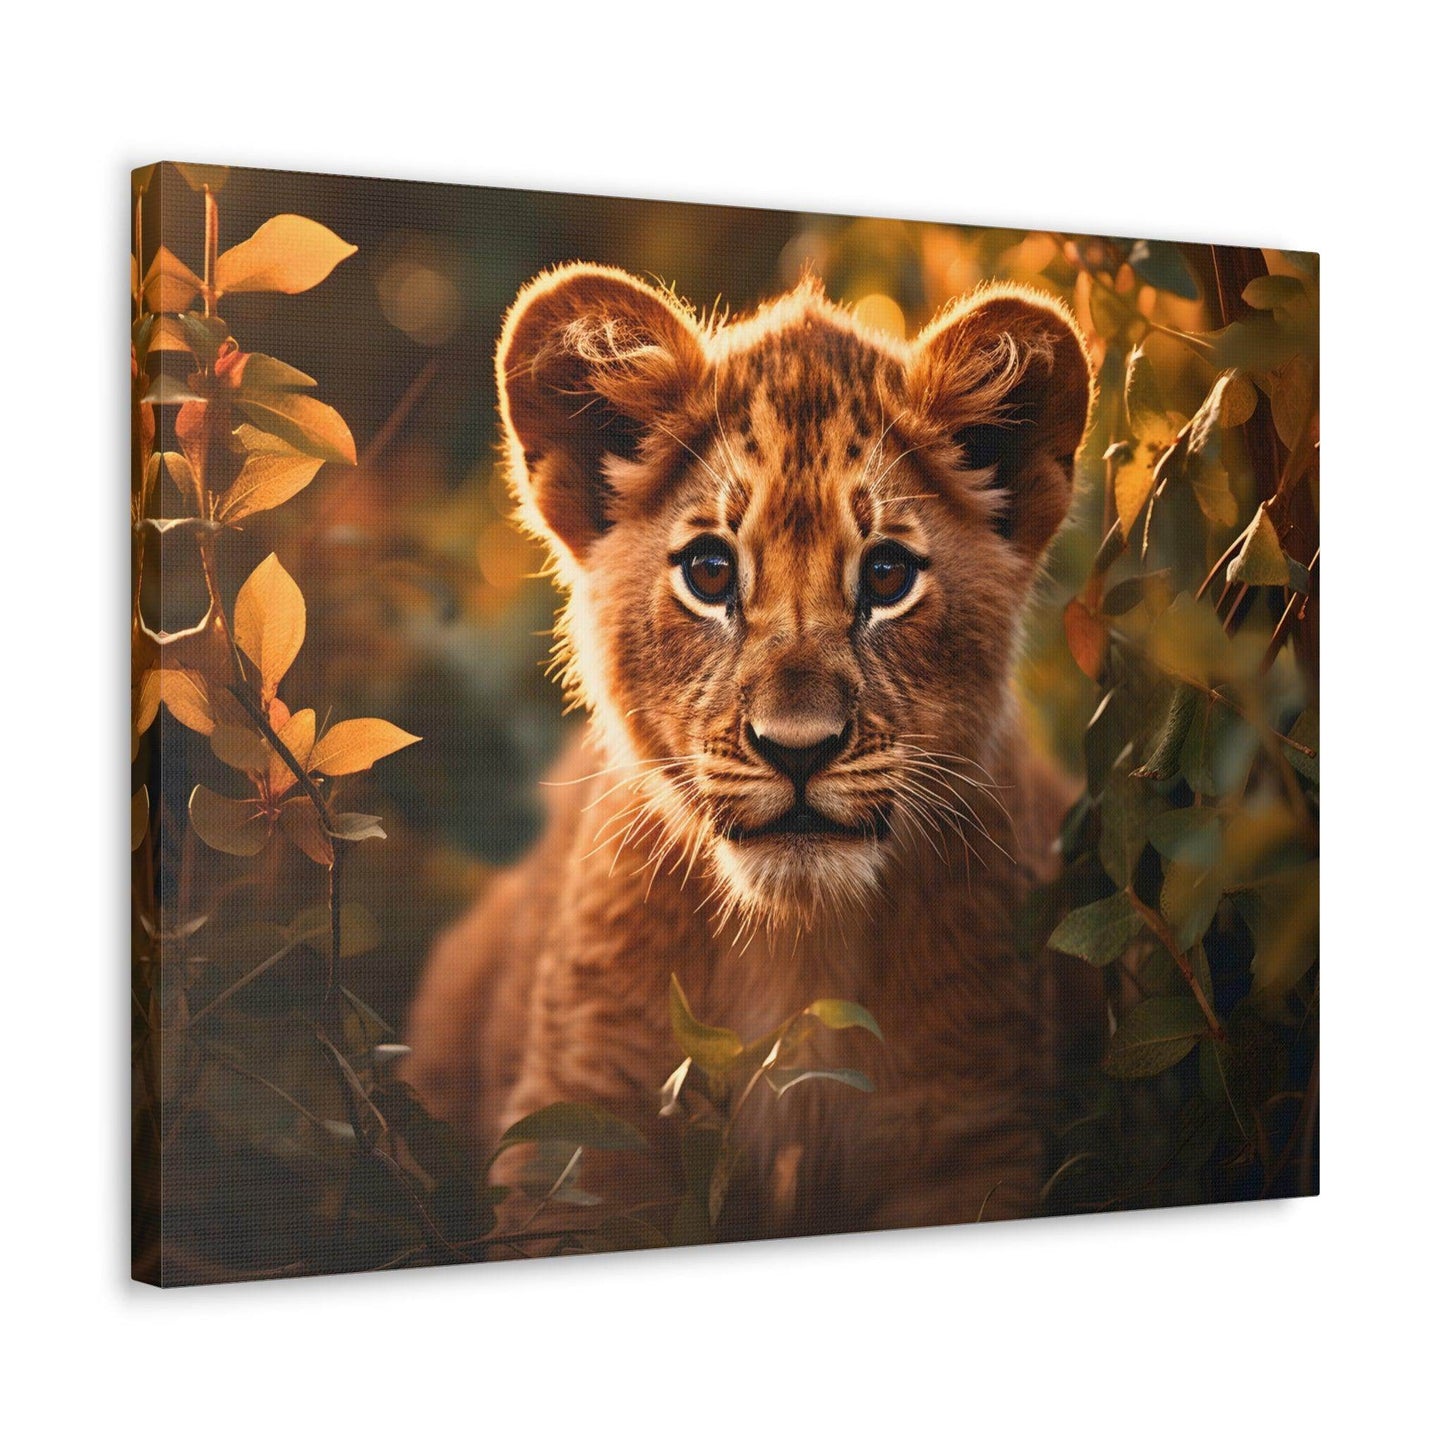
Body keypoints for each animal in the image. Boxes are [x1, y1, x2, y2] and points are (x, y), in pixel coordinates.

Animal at [403, 261, 1099, 1241]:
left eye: (886, 575)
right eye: (709, 572)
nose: (796, 750)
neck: (793, 947)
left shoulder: (968, 1137)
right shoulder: (578, 1134)